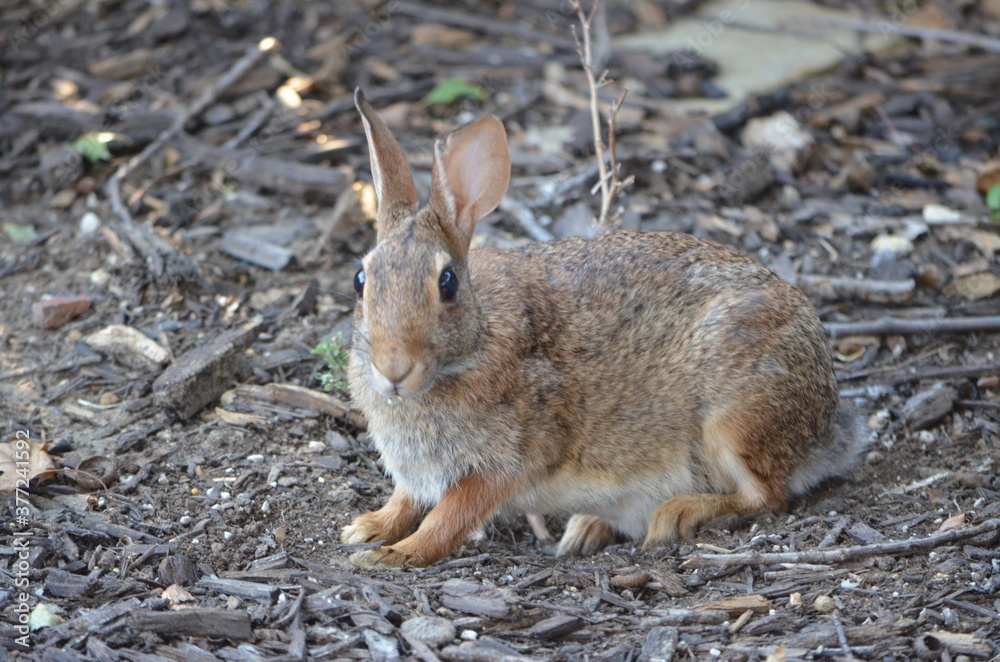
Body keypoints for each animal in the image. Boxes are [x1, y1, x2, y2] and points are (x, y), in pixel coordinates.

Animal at [340, 89, 865, 568]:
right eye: (360, 279)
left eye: (447, 283)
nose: (393, 370)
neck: (475, 341)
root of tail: (827, 429)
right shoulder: (416, 474)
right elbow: (406, 500)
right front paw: (367, 528)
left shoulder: (507, 461)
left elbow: (450, 515)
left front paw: (396, 554)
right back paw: (587, 528)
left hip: (735, 416)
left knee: (767, 496)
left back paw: (675, 513)